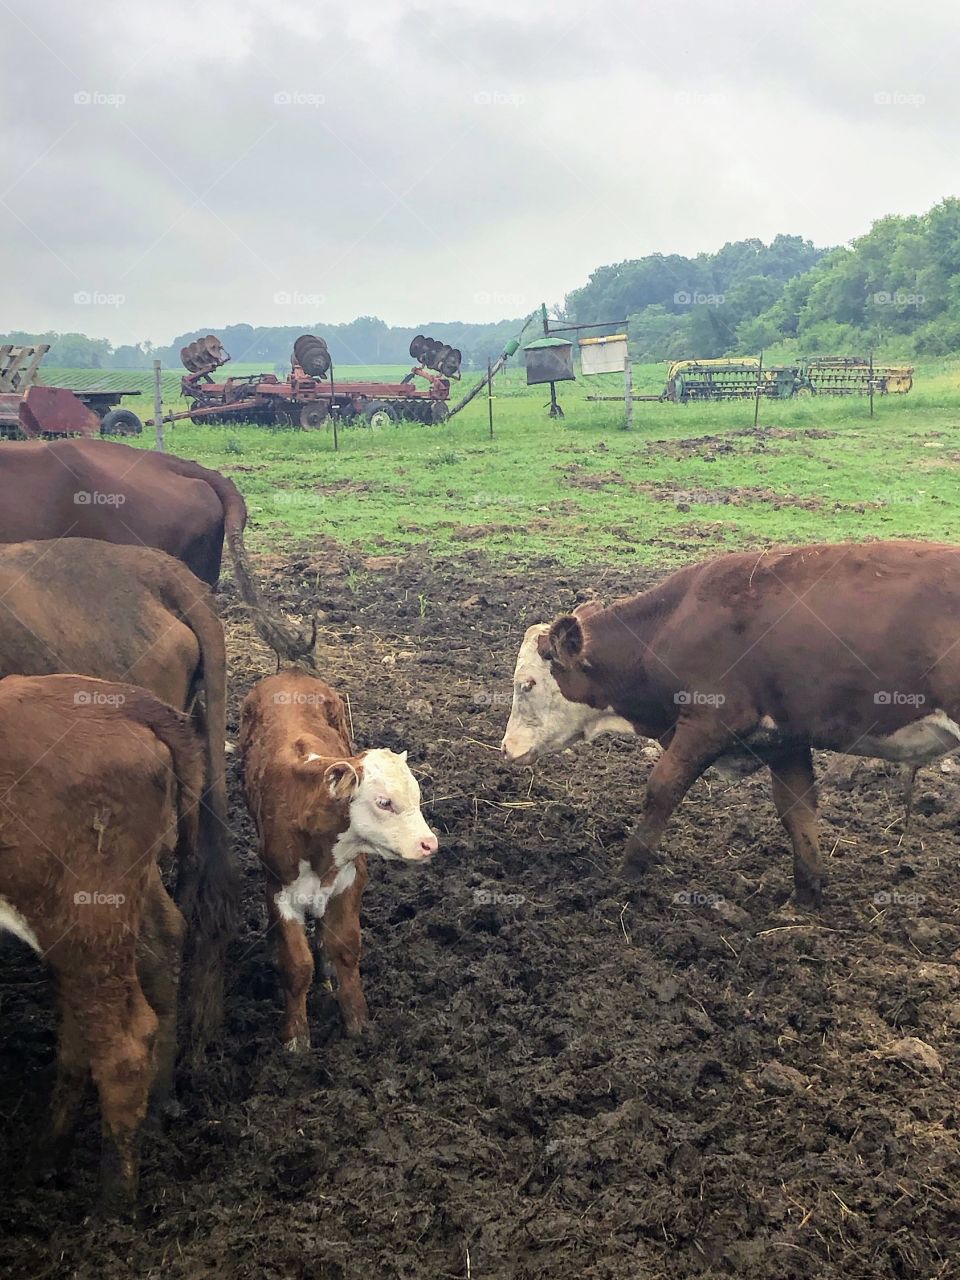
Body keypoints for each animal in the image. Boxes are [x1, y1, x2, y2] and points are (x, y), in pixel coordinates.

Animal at [239, 671, 438, 1051]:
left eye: (417, 797)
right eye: (384, 802)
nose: (429, 844)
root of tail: (291, 673)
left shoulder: (350, 880)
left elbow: (346, 948)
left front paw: (358, 1023)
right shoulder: (279, 892)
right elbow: (297, 964)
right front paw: (295, 1038)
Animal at [502, 541, 960, 907]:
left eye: (526, 684)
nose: (507, 748)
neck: (673, 623)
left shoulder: (709, 721)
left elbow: (661, 790)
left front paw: (625, 878)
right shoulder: (785, 737)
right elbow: (797, 812)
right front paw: (805, 899)